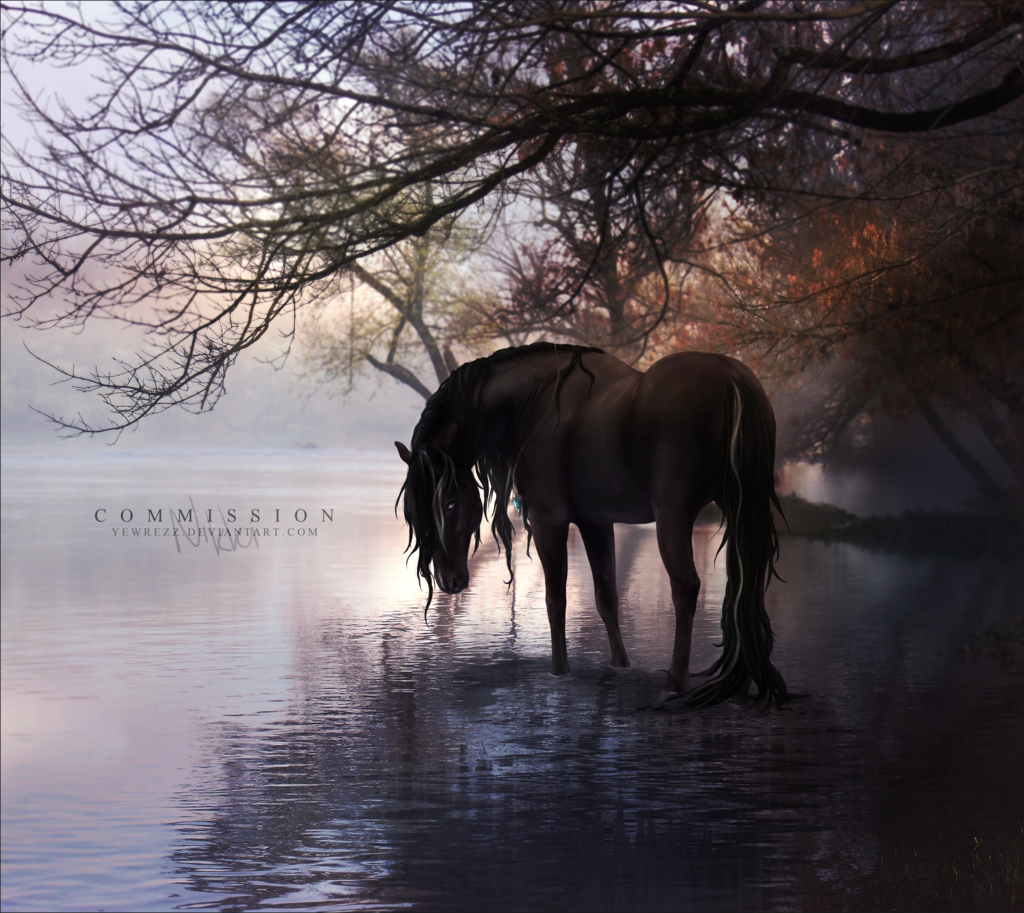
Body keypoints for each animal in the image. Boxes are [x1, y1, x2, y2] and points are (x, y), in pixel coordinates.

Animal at [395, 341, 786, 704]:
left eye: (448, 503)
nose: (450, 581)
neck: (535, 402)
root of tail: (731, 377)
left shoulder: (548, 520)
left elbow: (556, 600)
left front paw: (559, 671)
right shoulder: (595, 522)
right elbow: (606, 596)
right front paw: (618, 666)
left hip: (673, 519)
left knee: (685, 588)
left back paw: (677, 682)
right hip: (738, 507)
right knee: (745, 587)